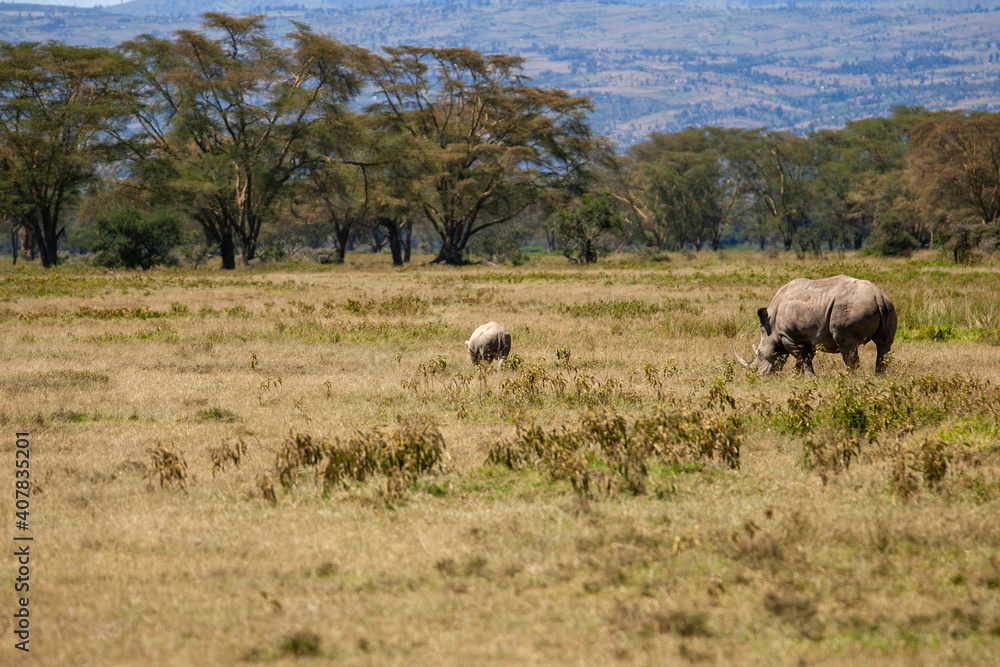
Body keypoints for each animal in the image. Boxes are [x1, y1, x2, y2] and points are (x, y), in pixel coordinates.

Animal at [736, 276, 900, 378]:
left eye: (759, 353)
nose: (759, 375)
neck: (771, 327)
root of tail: (878, 296)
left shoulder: (787, 335)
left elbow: (801, 356)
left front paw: (807, 377)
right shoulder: (808, 337)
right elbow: (806, 356)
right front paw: (798, 376)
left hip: (851, 307)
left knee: (847, 345)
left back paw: (846, 378)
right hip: (888, 306)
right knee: (883, 345)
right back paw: (879, 376)